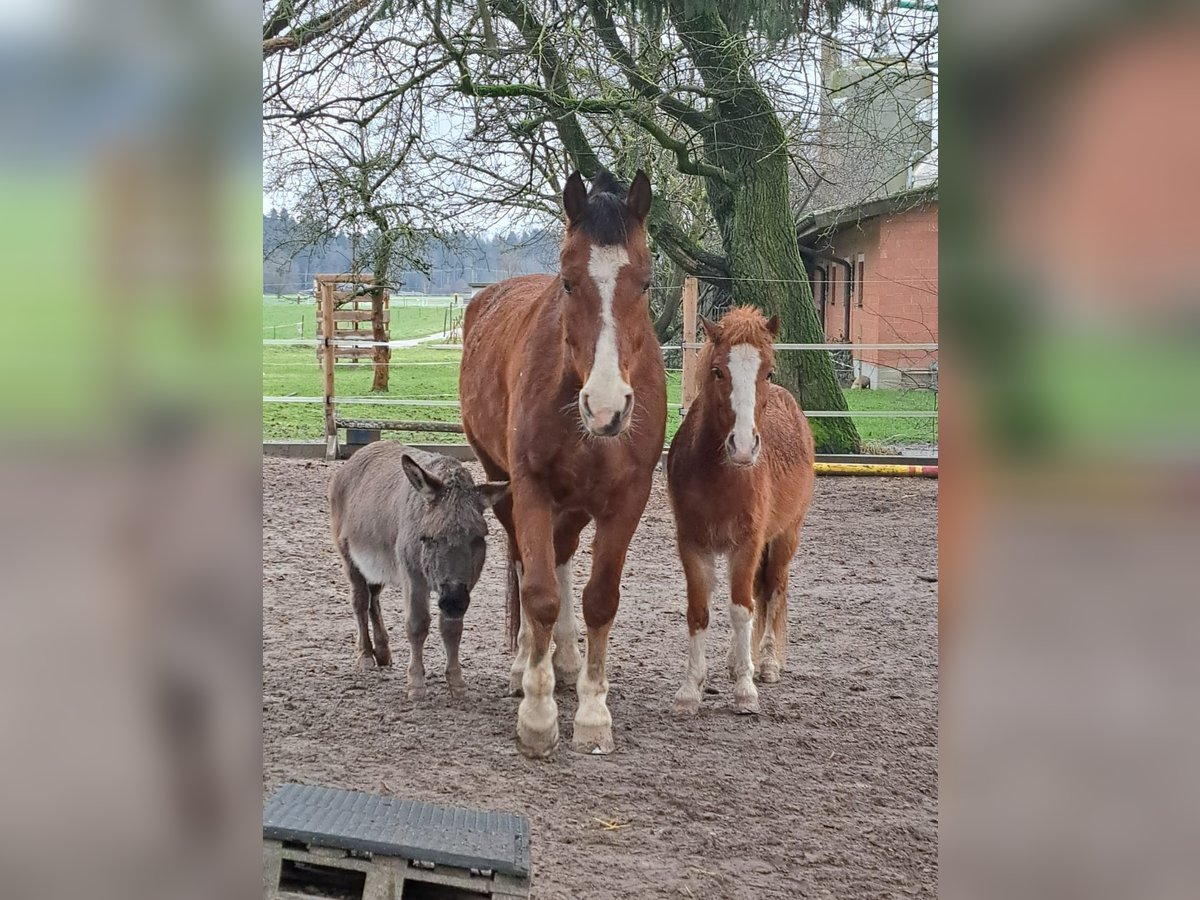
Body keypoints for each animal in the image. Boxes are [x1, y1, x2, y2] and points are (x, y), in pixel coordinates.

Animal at [456, 170, 667, 763]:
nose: (606, 407)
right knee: (528, 562)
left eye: (645, 282)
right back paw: (526, 664)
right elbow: (540, 594)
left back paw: (567, 661)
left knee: (565, 553)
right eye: (569, 283)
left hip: (575, 504)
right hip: (505, 485)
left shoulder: (628, 498)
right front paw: (538, 713)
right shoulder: (530, 488)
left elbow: (599, 599)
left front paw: (593, 713)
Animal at [667, 309, 816, 720]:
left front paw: (746, 692)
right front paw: (690, 691)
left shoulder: (747, 544)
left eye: (768, 371)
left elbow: (741, 610)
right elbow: (699, 611)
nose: (745, 446)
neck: (722, 476)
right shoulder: (693, 545)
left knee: (772, 590)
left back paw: (764, 664)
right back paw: (737, 661)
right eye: (718, 371)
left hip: (784, 537)